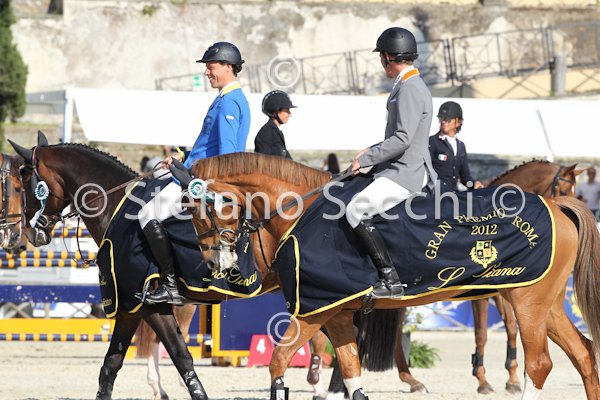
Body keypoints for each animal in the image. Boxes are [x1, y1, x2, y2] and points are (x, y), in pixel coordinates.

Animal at [162, 152, 599, 400]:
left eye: (207, 209)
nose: (214, 262)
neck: (304, 212)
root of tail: (558, 206)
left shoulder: (314, 312)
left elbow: (279, 363)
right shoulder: (335, 312)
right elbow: (352, 375)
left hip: (528, 302)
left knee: (539, 365)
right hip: (546, 305)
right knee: (583, 353)